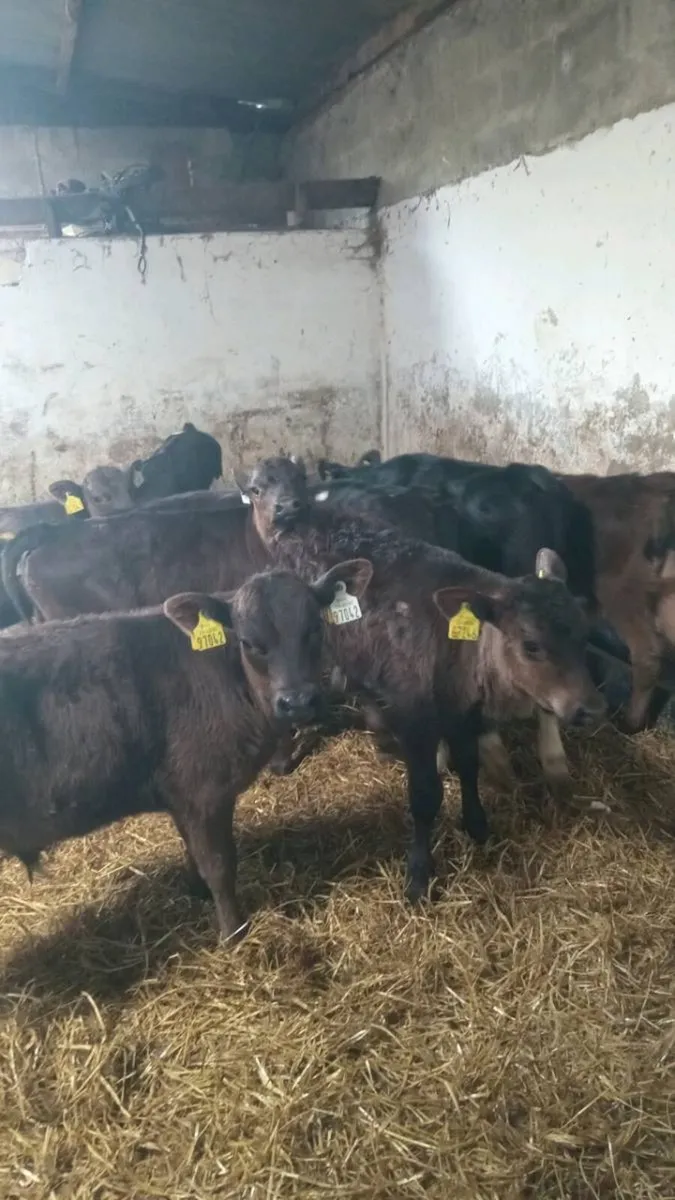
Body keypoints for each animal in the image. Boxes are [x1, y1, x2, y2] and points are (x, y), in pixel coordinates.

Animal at [0, 560, 370, 940]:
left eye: (314, 628)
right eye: (249, 642)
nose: (297, 702)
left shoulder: (180, 794)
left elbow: (193, 852)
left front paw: (196, 892)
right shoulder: (205, 793)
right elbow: (219, 865)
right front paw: (233, 931)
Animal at [240, 456, 605, 902]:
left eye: (584, 634)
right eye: (531, 644)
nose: (591, 708)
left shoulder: (465, 716)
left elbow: (469, 766)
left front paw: (477, 824)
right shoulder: (417, 722)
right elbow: (426, 796)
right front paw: (418, 874)